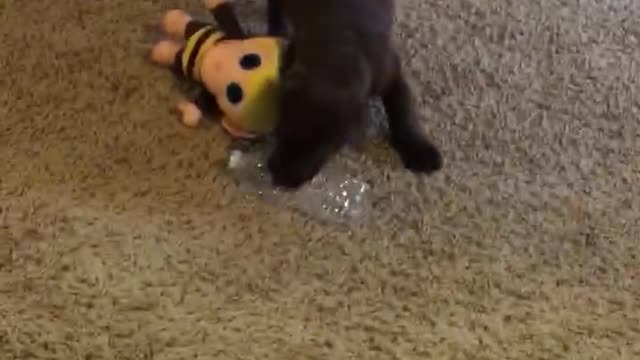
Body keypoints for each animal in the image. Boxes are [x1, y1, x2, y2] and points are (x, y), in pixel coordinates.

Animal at [268, 0, 442, 190]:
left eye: (326, 146)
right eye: (280, 131)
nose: (281, 175)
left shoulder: (392, 73)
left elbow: (404, 112)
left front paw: (421, 150)